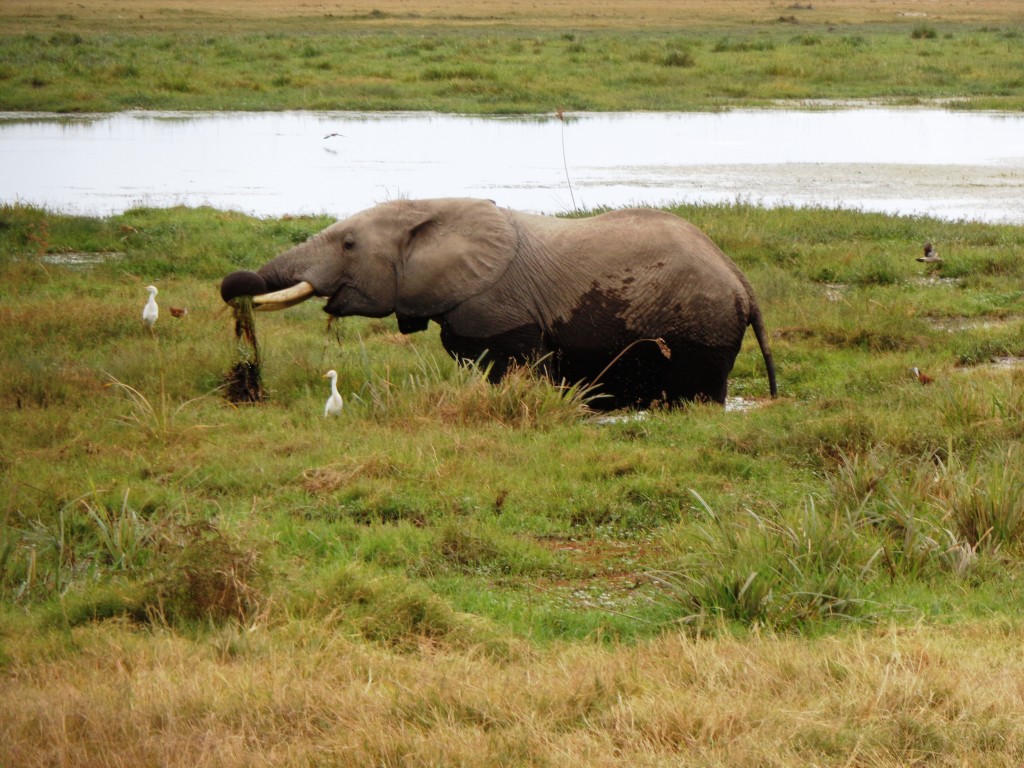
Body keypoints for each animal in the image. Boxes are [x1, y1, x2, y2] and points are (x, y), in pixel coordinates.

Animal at [218, 201, 774, 411]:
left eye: (349, 245)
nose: (233, 287)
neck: (429, 212)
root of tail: (743, 284)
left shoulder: (498, 309)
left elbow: (517, 365)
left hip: (702, 326)